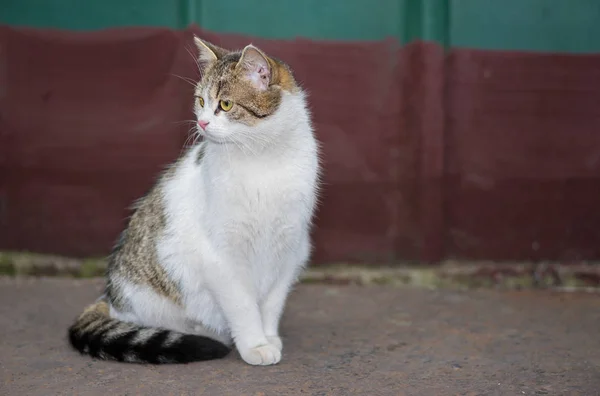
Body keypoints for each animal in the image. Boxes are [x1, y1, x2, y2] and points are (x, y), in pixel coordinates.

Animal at [68, 35, 322, 366]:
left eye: (225, 104)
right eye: (201, 101)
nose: (201, 123)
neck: (262, 158)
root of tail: (109, 297)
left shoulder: (289, 250)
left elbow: (271, 304)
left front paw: (269, 337)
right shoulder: (221, 256)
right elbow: (243, 305)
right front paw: (255, 344)